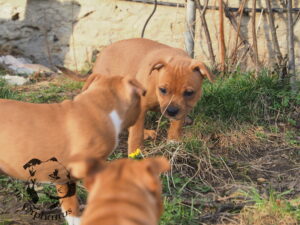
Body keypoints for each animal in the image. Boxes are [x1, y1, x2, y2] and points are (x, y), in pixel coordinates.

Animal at [60, 39, 213, 155]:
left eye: (189, 93)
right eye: (163, 90)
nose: (171, 111)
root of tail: (101, 55)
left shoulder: (182, 109)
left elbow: (177, 124)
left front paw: (173, 142)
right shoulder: (142, 106)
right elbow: (136, 133)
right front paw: (135, 153)